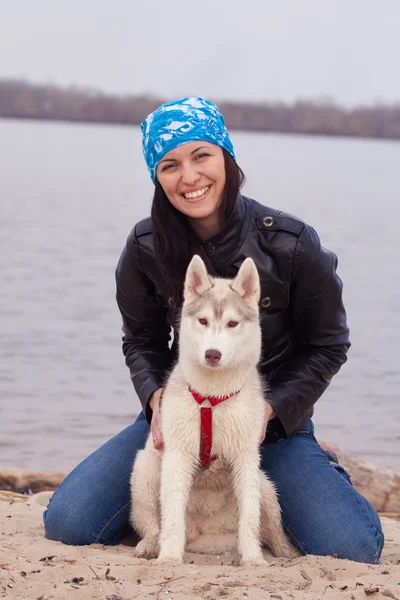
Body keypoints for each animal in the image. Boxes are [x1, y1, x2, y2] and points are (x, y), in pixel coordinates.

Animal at [130, 255, 296, 564]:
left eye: (232, 323)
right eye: (203, 320)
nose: (212, 354)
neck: (212, 398)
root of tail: (202, 533)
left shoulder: (246, 457)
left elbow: (250, 519)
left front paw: (253, 560)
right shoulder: (177, 455)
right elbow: (171, 517)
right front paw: (169, 557)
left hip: (265, 487)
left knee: (272, 531)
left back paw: (284, 552)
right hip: (145, 472)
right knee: (153, 524)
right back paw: (151, 545)